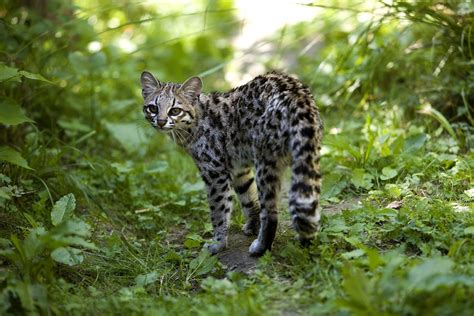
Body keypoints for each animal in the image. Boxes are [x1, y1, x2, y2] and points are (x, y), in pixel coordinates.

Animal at [140, 71, 322, 256]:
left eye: (175, 110)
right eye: (153, 108)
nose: (161, 121)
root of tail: (298, 97)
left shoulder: (214, 172)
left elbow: (219, 210)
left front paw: (218, 243)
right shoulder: (239, 169)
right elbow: (248, 199)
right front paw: (252, 226)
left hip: (265, 161)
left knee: (271, 212)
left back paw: (261, 246)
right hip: (309, 156)